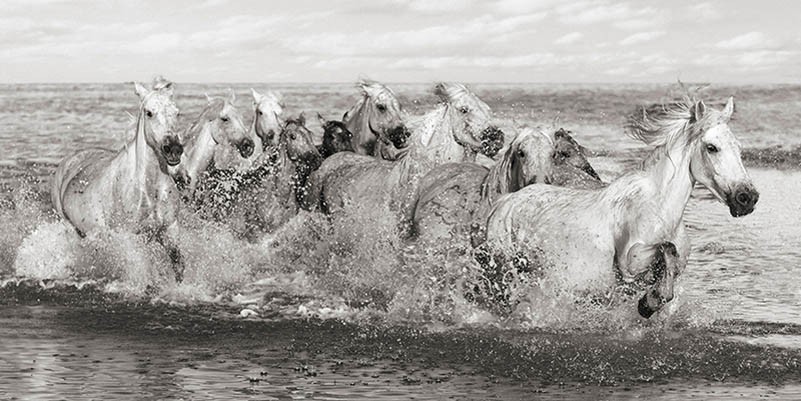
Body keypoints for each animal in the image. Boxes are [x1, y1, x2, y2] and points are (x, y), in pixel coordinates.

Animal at [51, 77, 187, 280]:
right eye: (149, 113)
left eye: (177, 113)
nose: (174, 149)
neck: (148, 189)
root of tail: (69, 161)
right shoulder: (131, 236)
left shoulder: (170, 229)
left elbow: (178, 265)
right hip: (69, 227)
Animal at [475, 95, 759, 318]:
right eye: (712, 147)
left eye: (739, 148)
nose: (747, 197)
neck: (659, 210)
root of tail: (505, 202)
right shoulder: (630, 262)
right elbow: (666, 250)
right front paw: (648, 303)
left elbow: (671, 265)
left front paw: (649, 302)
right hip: (504, 271)